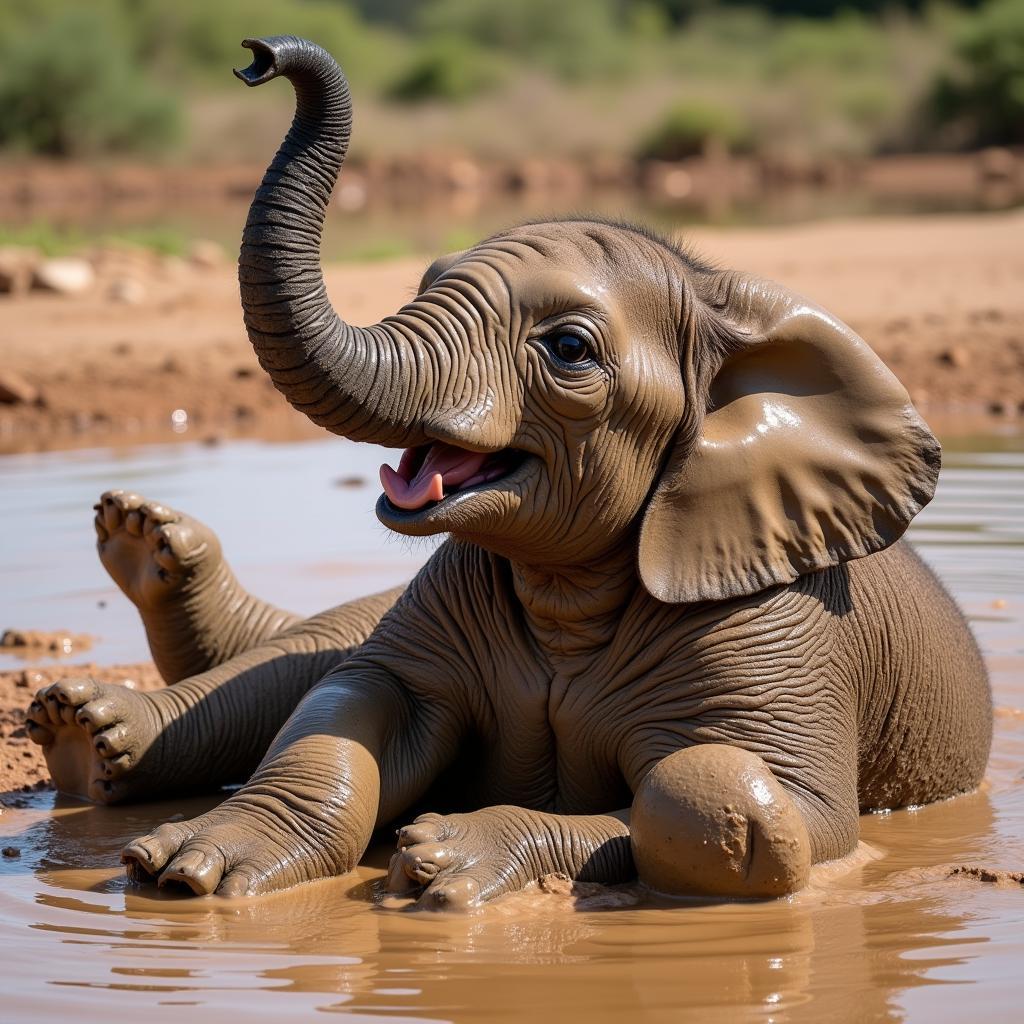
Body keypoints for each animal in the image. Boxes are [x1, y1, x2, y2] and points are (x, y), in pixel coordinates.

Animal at [29, 37, 991, 905]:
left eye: (567, 349)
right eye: (425, 281)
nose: (262, 57)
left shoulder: (783, 622)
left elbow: (788, 810)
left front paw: (448, 855)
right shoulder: (443, 602)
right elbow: (350, 702)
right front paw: (190, 866)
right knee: (298, 658)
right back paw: (99, 690)